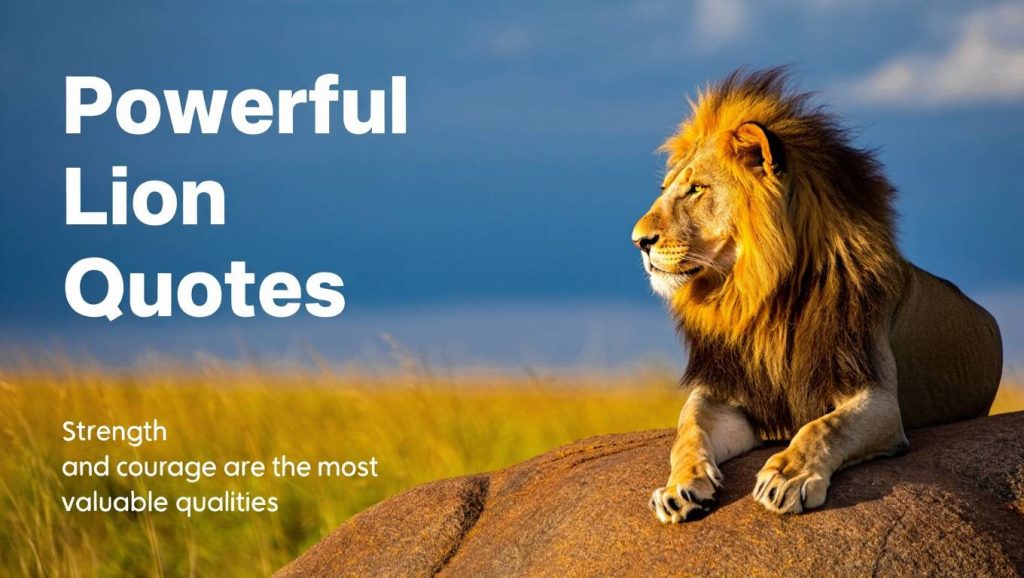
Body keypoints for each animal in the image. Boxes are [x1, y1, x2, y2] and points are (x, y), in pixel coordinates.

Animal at [634, 68, 1003, 522]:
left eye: (697, 189)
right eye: (667, 188)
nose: (638, 241)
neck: (761, 297)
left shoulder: (878, 398)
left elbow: (823, 427)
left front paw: (787, 477)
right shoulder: (728, 393)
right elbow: (689, 430)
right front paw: (679, 488)